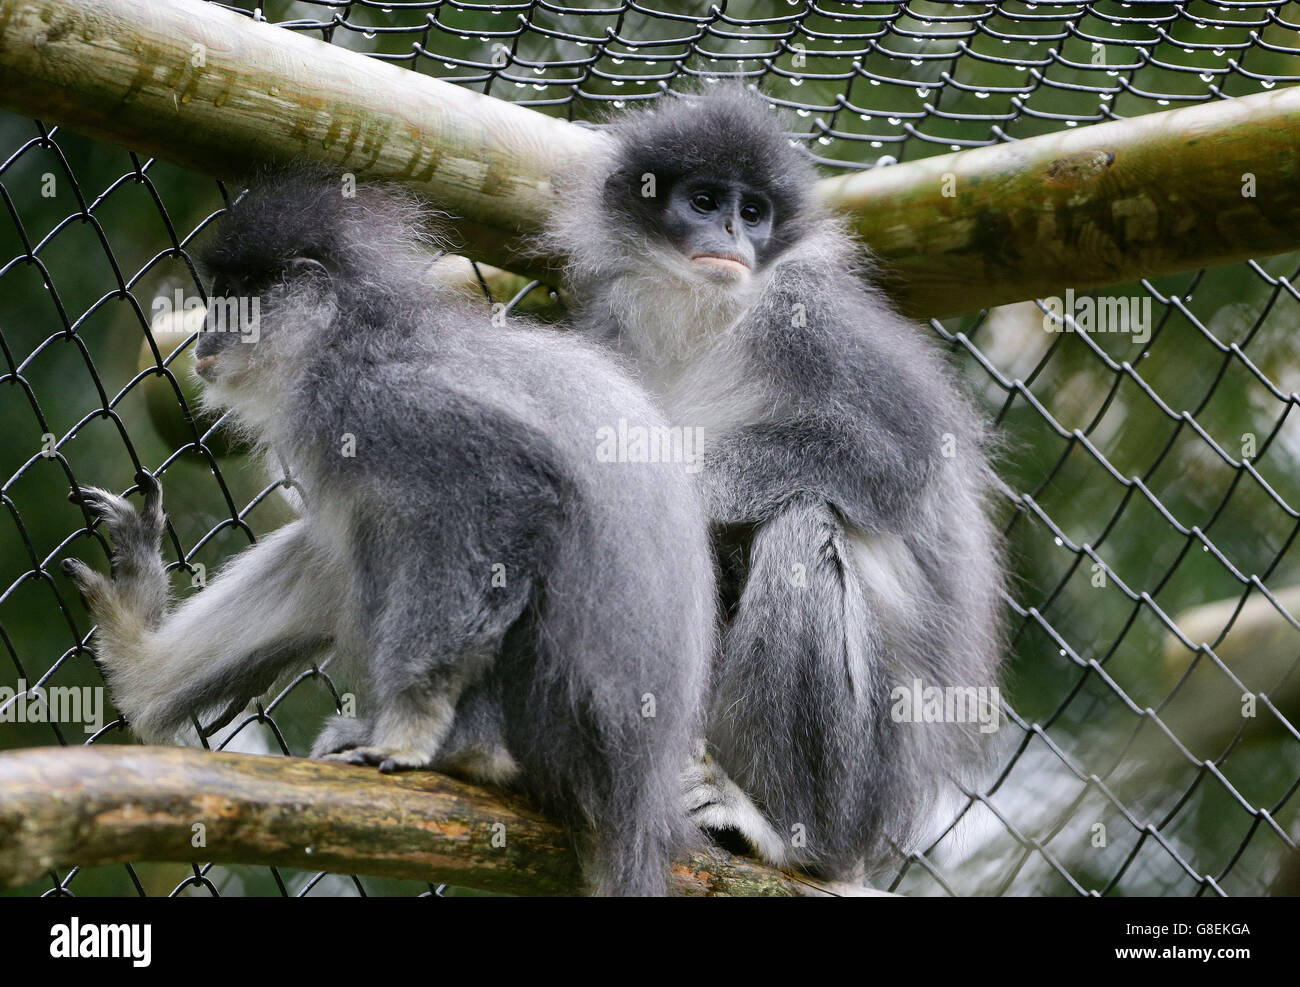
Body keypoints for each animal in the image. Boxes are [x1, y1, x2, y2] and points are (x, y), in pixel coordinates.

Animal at [62, 164, 715, 896]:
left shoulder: (368, 396)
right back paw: (141, 668)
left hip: (557, 722)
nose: (204, 339)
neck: (346, 335)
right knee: (337, 545)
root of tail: (635, 802)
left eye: (233, 301)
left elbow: (511, 489)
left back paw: (472, 752)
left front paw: (409, 733)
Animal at [546, 87, 1005, 880]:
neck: (702, 316)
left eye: (754, 211)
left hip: (866, 775)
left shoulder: (805, 308)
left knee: (799, 525)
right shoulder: (609, 331)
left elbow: (906, 454)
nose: (732, 229)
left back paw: (784, 830)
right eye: (704, 200)